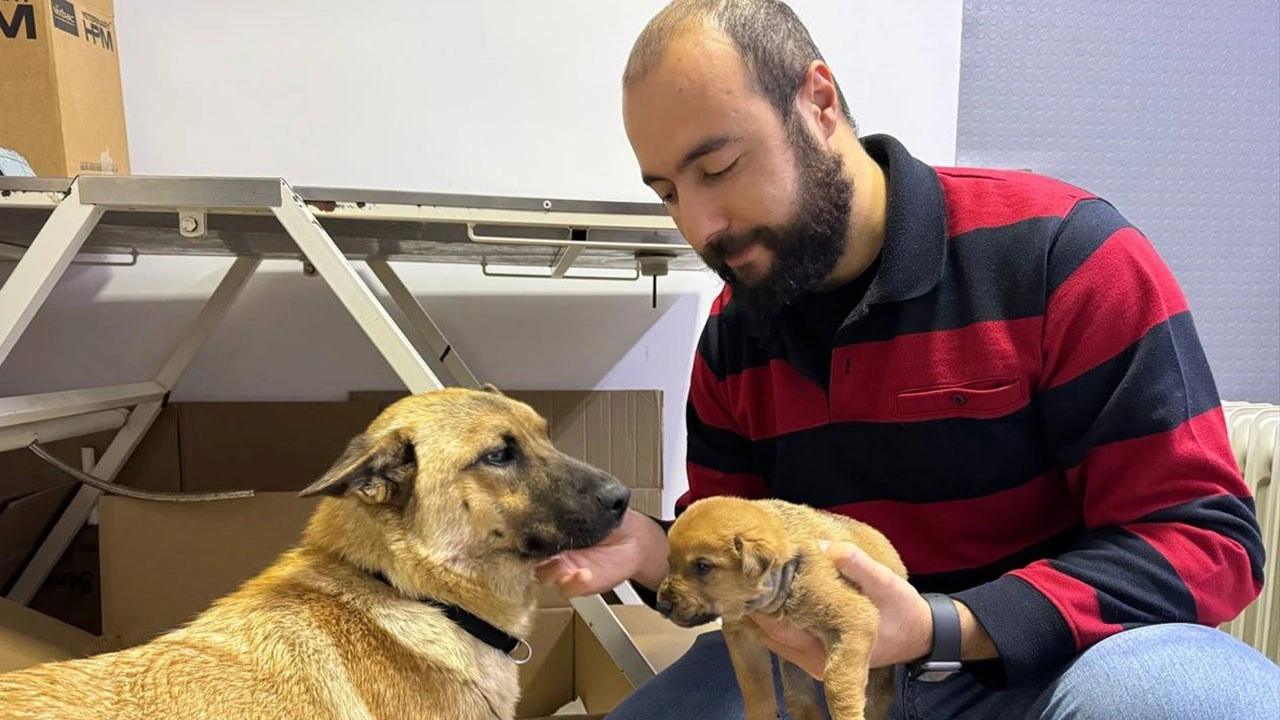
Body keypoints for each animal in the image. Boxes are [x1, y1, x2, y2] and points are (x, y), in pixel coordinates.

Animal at [655, 497, 906, 717]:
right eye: (669, 563)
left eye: (702, 566)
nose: (662, 605)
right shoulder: (742, 639)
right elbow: (755, 686)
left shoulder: (854, 620)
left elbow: (838, 685)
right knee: (800, 699)